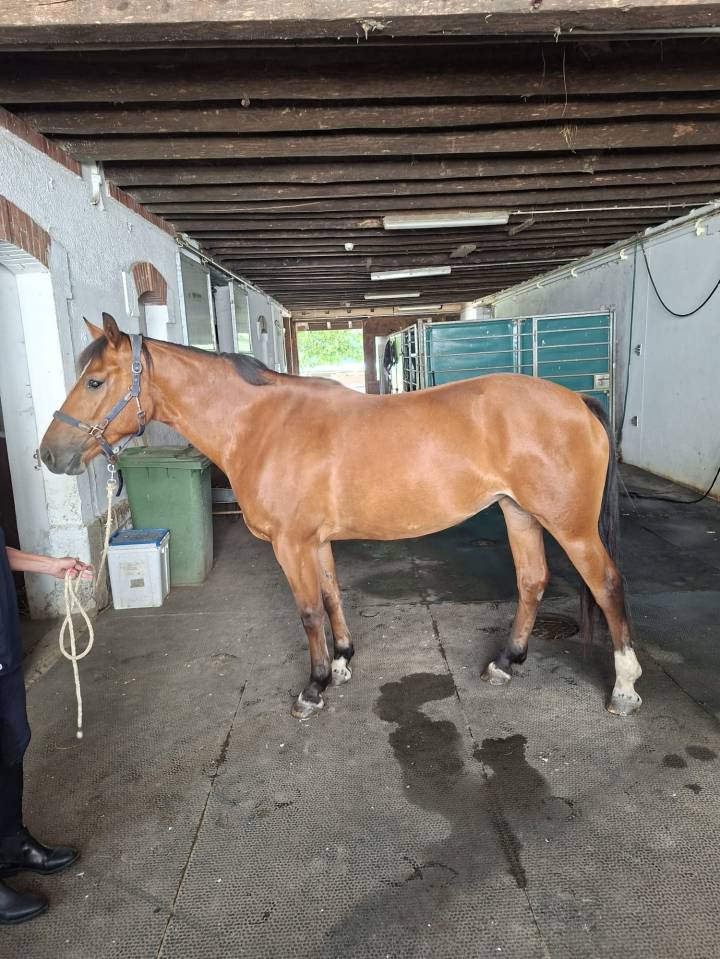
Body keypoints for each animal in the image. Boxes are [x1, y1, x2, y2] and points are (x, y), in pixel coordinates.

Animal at [40, 313, 642, 721]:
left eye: (95, 382)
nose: (48, 455)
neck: (261, 424)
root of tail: (575, 401)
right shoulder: (314, 541)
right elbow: (331, 595)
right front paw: (345, 661)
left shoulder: (290, 544)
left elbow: (308, 610)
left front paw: (315, 685)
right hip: (519, 513)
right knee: (532, 581)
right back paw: (505, 662)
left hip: (570, 526)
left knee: (608, 584)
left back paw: (624, 687)